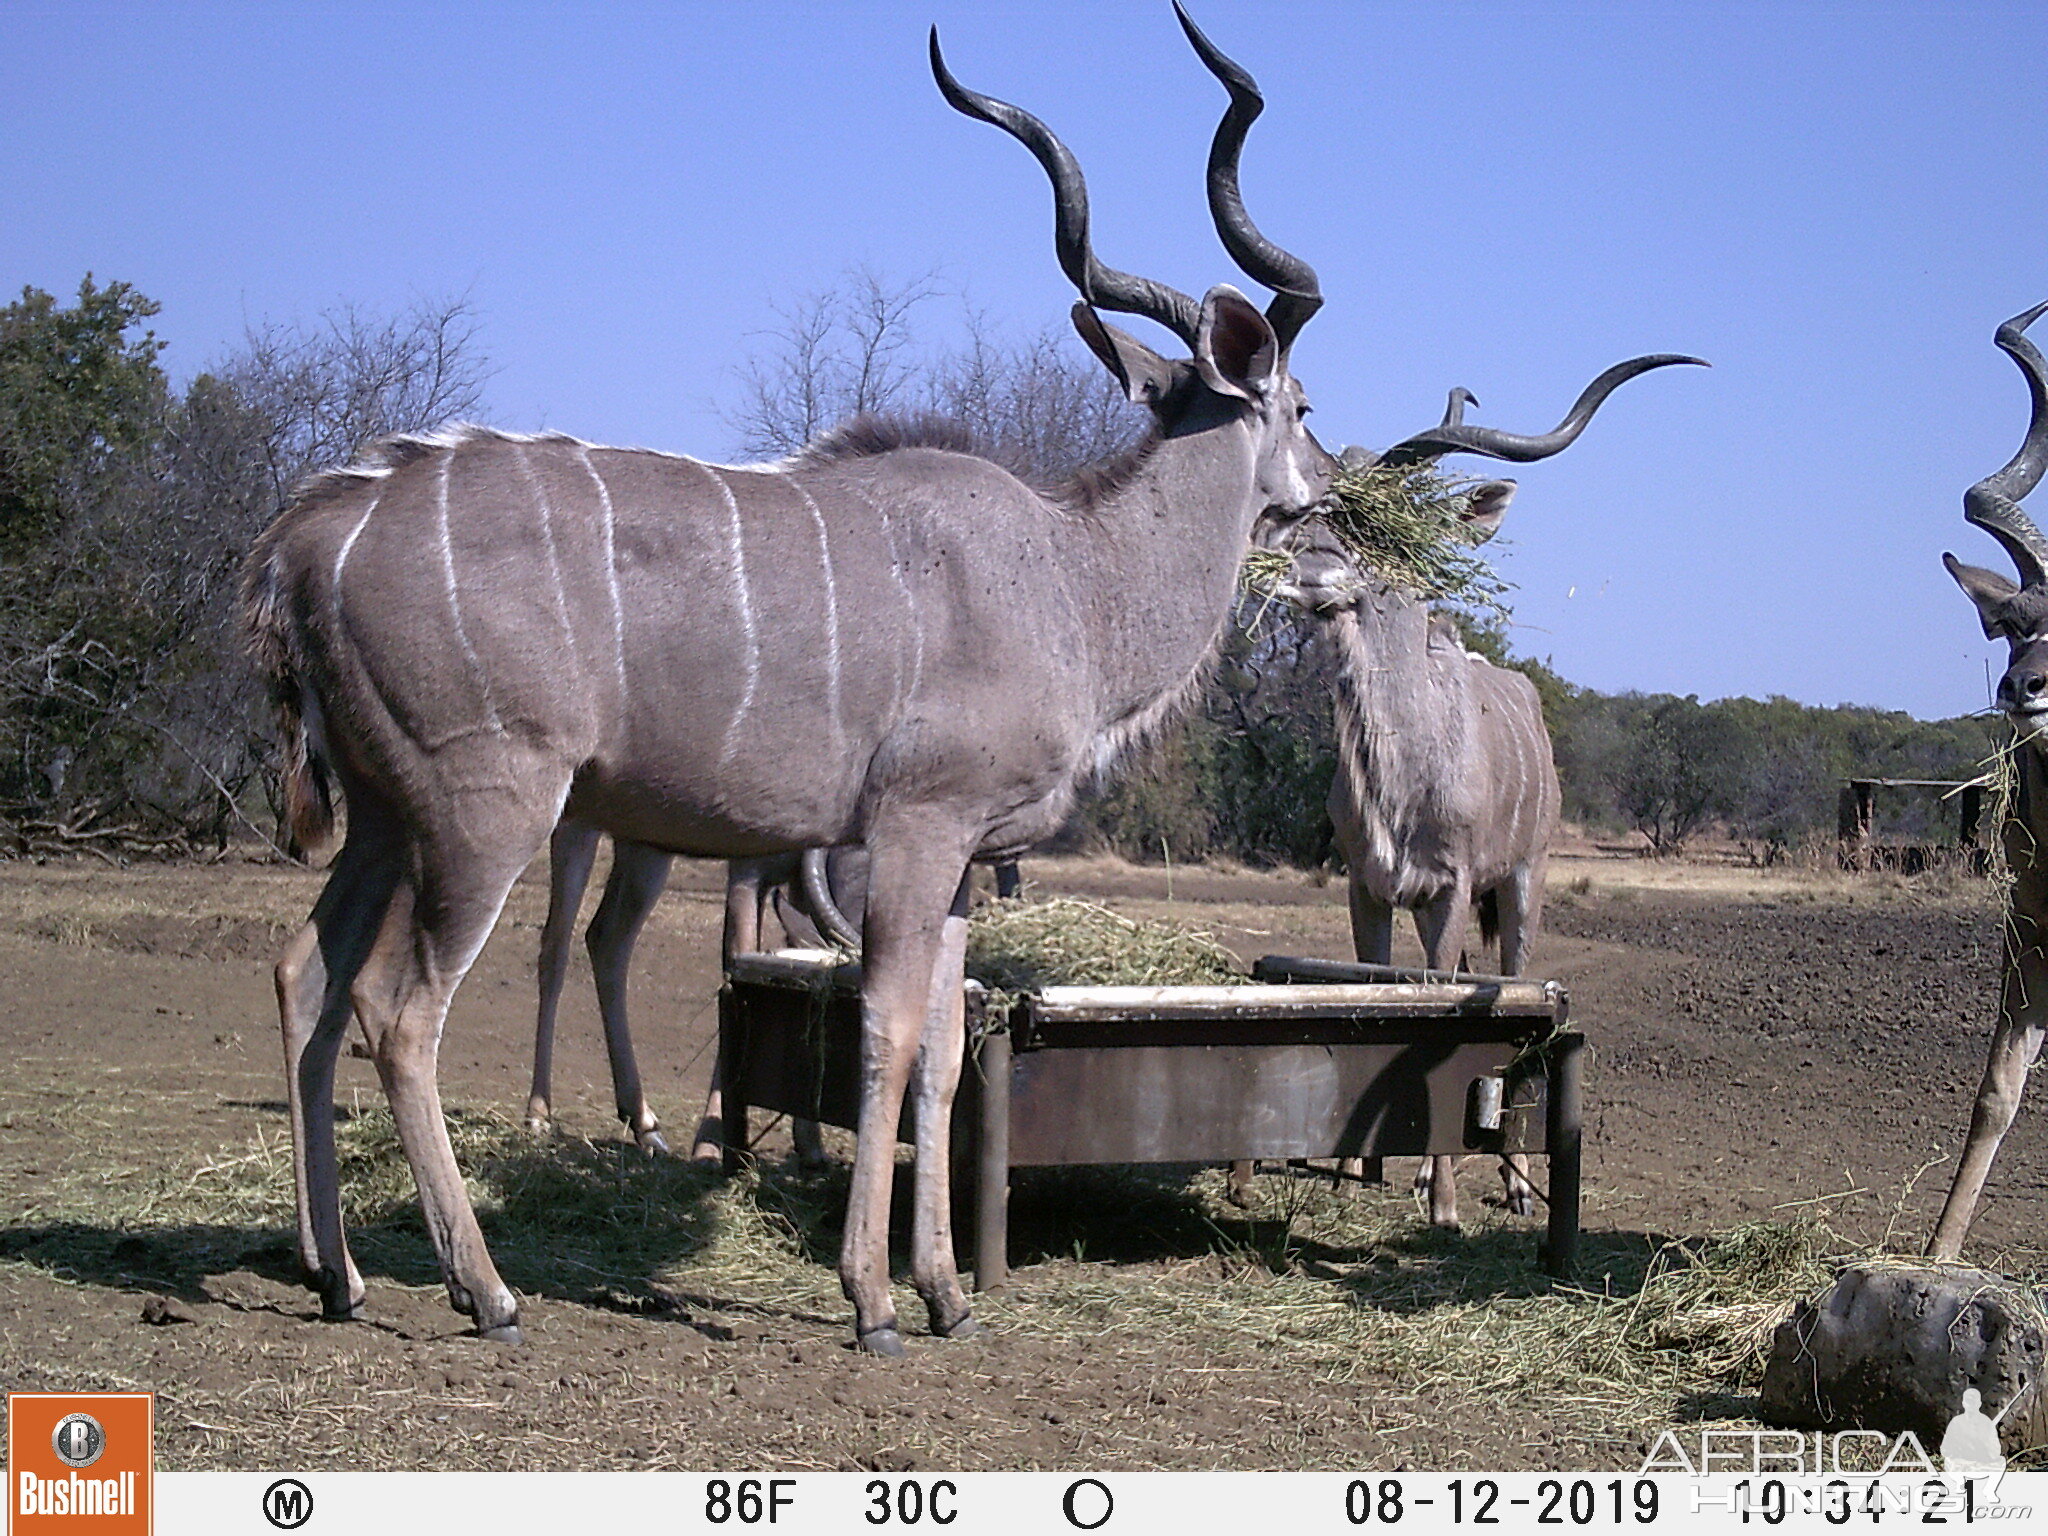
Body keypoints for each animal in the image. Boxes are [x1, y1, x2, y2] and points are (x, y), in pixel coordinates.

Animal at [243, 12, 1327, 1359]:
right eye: (1299, 401)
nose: (1327, 492)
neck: (1072, 576)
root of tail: (309, 534)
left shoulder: (956, 859)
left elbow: (943, 1057)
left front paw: (947, 1292)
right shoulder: (911, 829)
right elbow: (886, 1033)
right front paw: (872, 1301)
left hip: (386, 819)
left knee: (304, 972)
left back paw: (333, 1271)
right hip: (482, 811)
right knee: (398, 1010)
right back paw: (484, 1291)